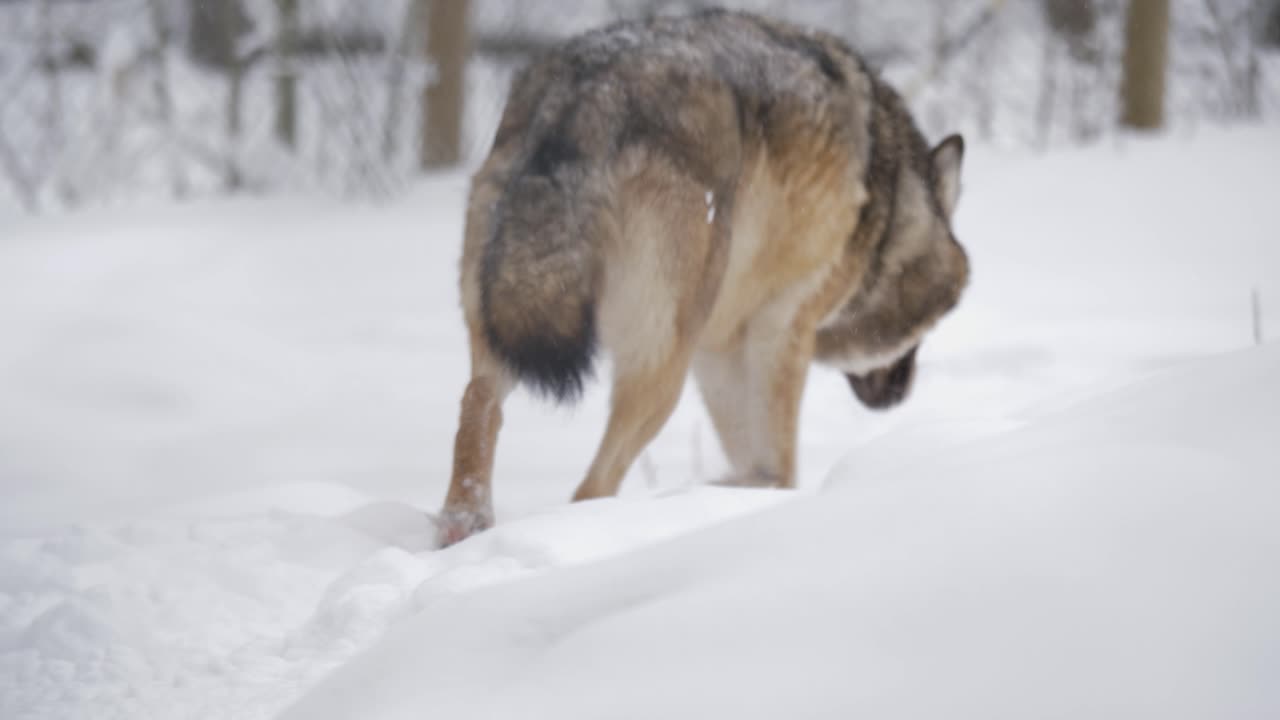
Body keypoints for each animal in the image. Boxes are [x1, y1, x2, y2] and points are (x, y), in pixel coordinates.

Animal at [437, 9, 970, 546]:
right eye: (925, 331)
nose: (900, 395)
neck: (891, 208)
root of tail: (584, 98)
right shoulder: (782, 327)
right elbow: (779, 459)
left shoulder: (720, 347)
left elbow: (753, 458)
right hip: (662, 371)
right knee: (592, 486)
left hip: (508, 327)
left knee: (477, 403)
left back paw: (463, 529)